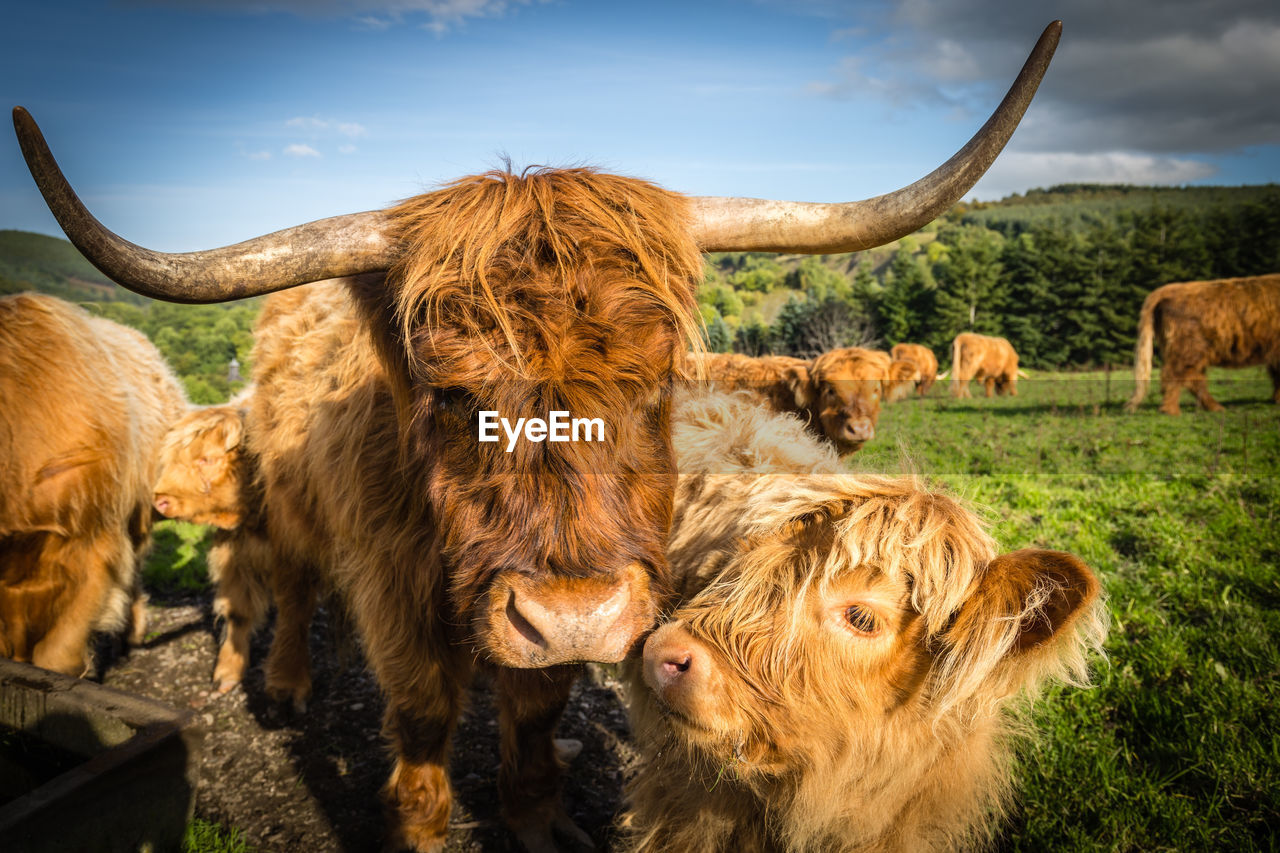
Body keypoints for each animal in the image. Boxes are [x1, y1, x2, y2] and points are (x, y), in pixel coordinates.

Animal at [1126, 274, 1274, 412]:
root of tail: (1166, 289)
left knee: (1192, 378)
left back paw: (1214, 407)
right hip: (1188, 348)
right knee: (1175, 374)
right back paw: (1171, 410)